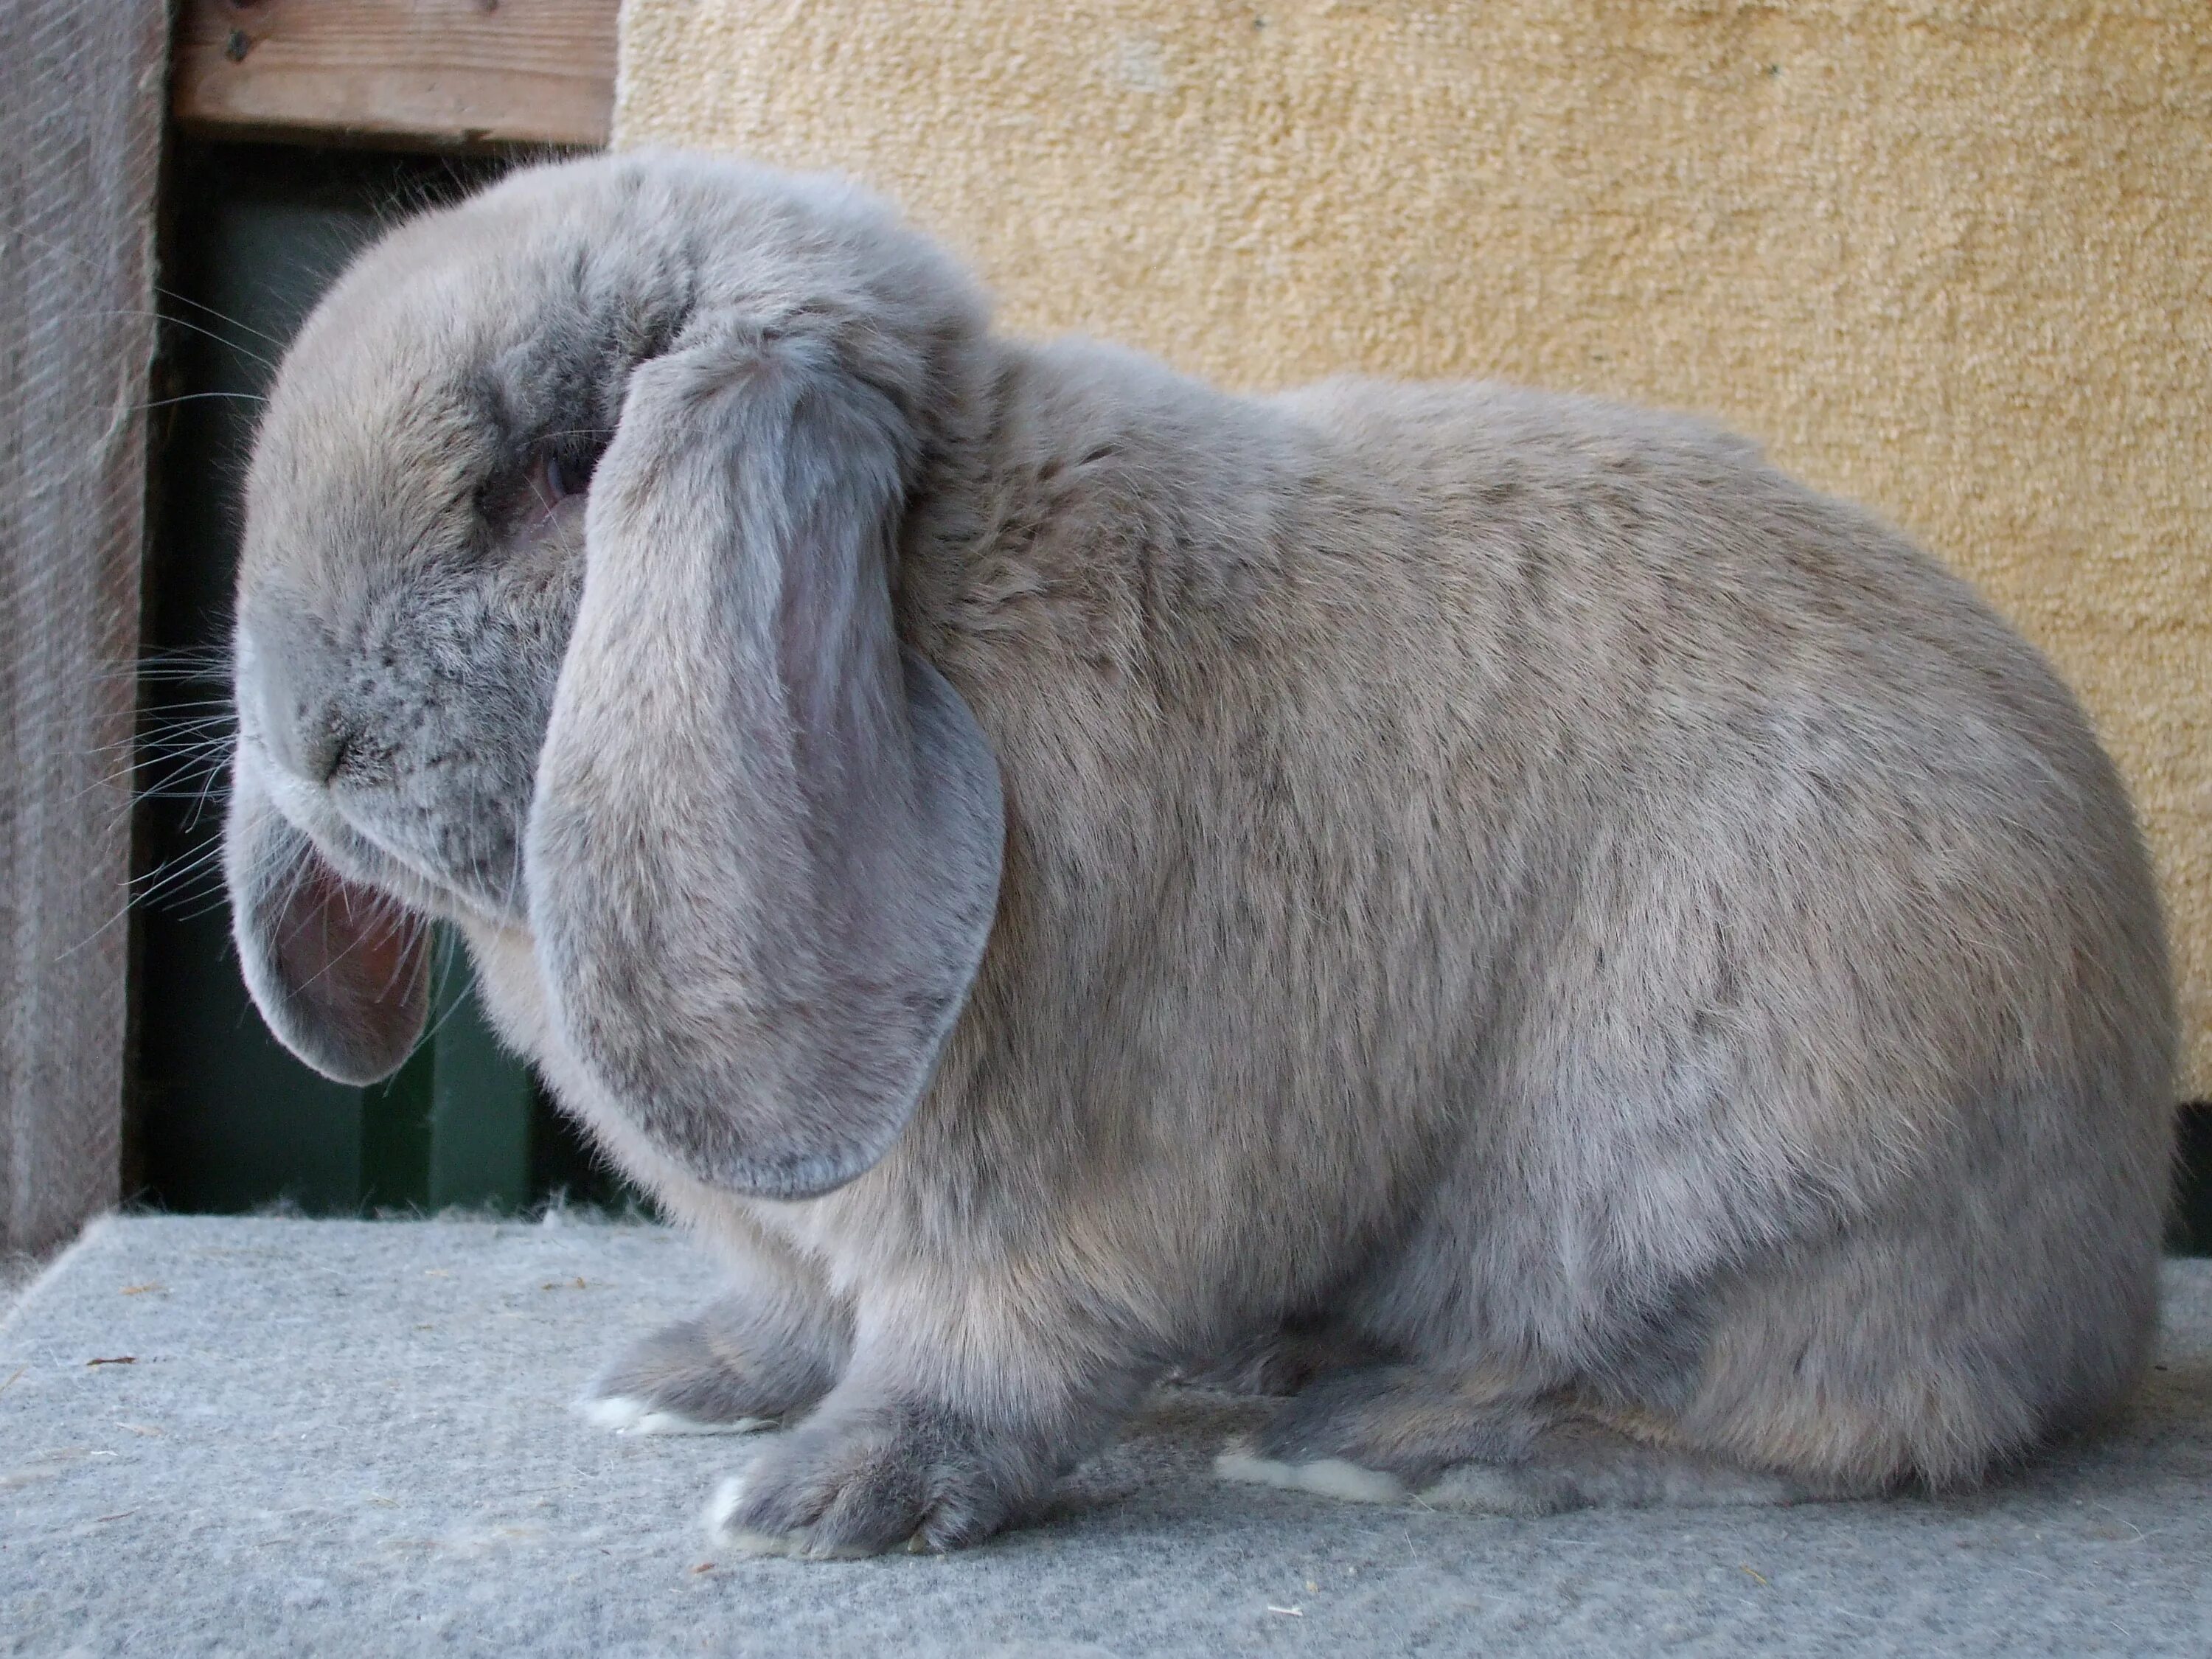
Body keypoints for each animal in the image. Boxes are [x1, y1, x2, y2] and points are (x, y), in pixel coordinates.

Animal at [220, 153, 2177, 1557]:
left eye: (567, 468)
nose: (308, 742)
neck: (939, 593)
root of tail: (2105, 1273)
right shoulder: (810, 1234)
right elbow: (793, 1309)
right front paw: (686, 1386)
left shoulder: (1078, 1198)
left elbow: (984, 1360)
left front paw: (825, 1502)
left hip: (1726, 1178)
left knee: (1838, 1426)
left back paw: (1398, 1444)